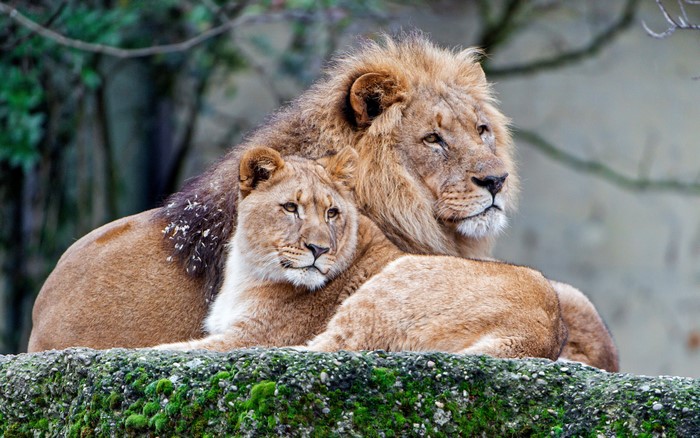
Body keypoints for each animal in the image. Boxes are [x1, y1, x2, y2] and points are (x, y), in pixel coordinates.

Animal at [155, 146, 567, 361]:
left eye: (332, 212)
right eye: (290, 208)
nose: (318, 249)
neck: (248, 268)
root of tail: (544, 331)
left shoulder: (248, 338)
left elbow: (170, 347)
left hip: (389, 287)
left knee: (321, 350)